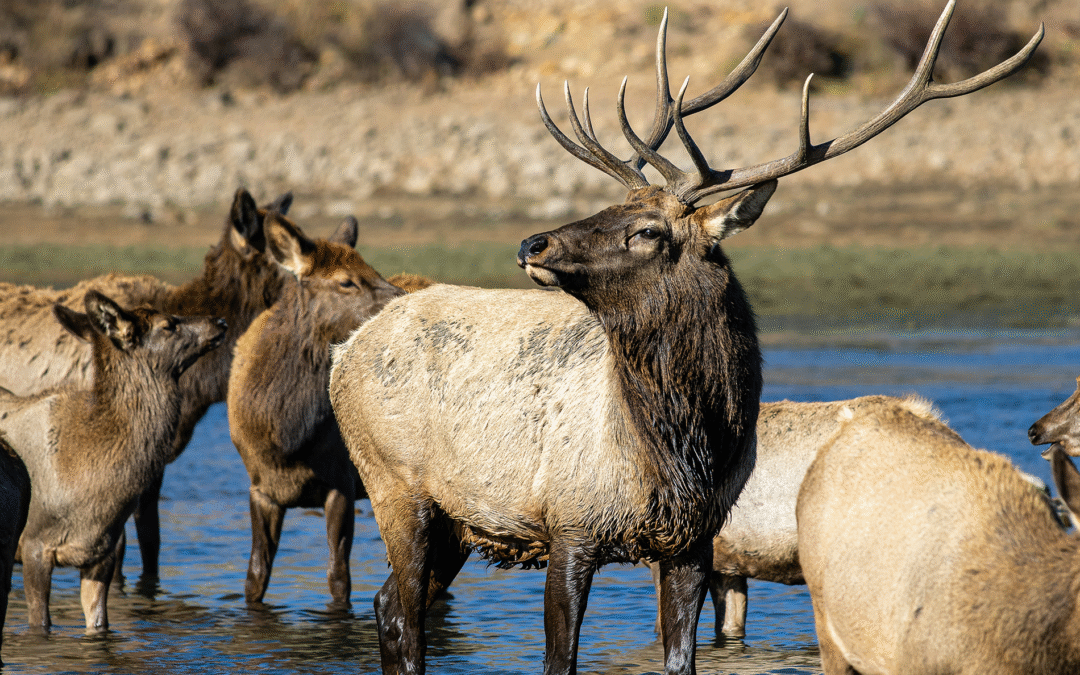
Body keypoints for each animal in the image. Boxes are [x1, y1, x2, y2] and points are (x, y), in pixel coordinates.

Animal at [0, 291, 226, 633]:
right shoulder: (33, 545)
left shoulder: (101, 552)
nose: (220, 321)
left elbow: (99, 623)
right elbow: (40, 623)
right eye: (168, 324)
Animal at [228, 212, 403, 608]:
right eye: (346, 281)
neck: (286, 438)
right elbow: (254, 577)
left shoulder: (341, 482)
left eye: (374, 270)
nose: (404, 300)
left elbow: (339, 578)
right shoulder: (259, 487)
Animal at [328, 4, 1041, 674]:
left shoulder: (694, 543)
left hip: (453, 519)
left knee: (388, 604)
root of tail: (346, 351)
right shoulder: (571, 523)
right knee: (402, 612)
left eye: (645, 229)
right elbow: (560, 660)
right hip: (395, 486)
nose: (533, 243)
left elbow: (682, 658)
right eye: (612, 207)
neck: (679, 451)